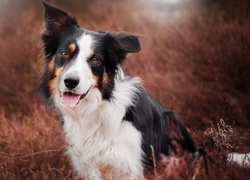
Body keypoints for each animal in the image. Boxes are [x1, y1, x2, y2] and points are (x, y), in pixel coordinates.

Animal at [39, 1, 195, 179]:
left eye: (95, 59)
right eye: (64, 53)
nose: (70, 82)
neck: (95, 109)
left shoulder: (133, 168)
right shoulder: (90, 166)